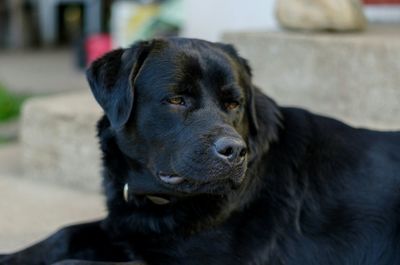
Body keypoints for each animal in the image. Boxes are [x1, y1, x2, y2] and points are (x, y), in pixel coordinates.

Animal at [2, 37, 400, 264]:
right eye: (176, 100)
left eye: (234, 104)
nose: (234, 151)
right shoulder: (126, 228)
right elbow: (64, 234)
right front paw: (11, 256)